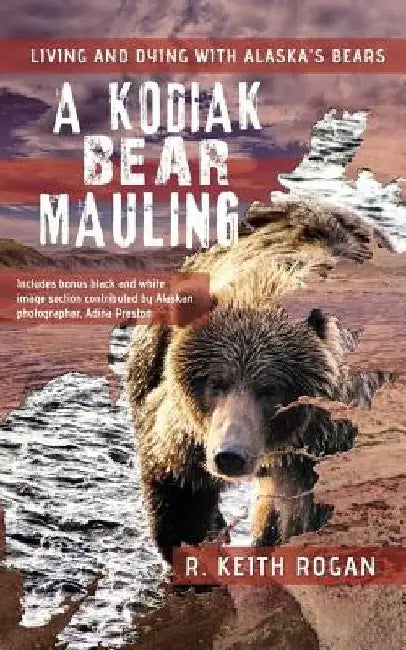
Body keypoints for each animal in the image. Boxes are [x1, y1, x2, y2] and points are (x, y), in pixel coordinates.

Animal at [126, 197, 395, 563]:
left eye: (269, 390)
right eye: (216, 382)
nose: (230, 454)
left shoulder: (328, 443)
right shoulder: (187, 430)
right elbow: (178, 490)